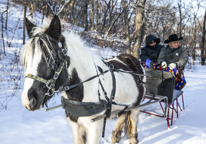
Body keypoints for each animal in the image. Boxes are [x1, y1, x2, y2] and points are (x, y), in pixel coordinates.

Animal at [20, 15, 146, 143]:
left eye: (51, 58)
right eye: (26, 59)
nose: (28, 100)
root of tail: (131, 58)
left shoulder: (95, 126)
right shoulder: (75, 123)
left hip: (136, 105)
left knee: (133, 118)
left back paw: (133, 139)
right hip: (124, 104)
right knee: (123, 114)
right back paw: (116, 136)